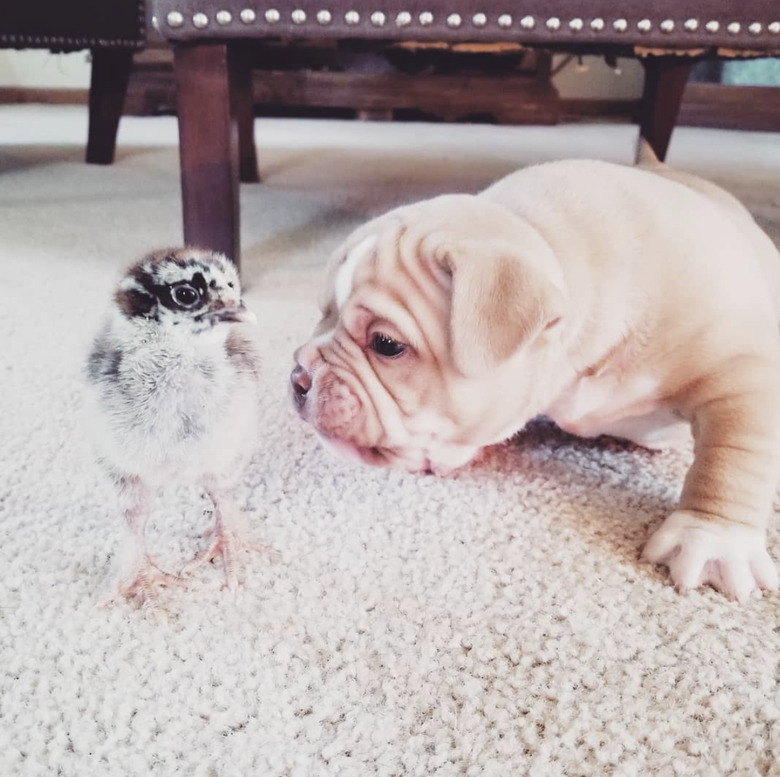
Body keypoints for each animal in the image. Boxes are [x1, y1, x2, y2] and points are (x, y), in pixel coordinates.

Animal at [290, 149, 780, 604]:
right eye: (322, 314)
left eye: (386, 344)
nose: (298, 376)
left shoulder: (741, 371)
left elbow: (733, 456)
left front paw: (714, 541)